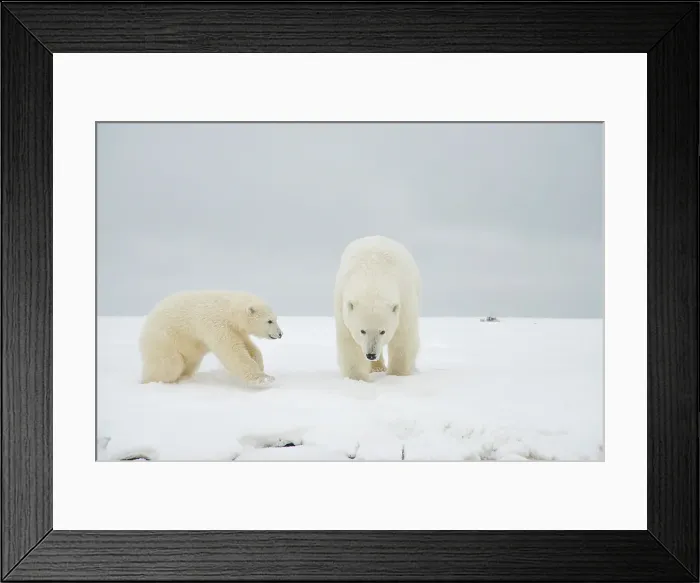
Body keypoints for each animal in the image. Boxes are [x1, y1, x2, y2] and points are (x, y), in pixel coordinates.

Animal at [138, 290, 283, 386]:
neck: (226, 308)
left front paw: (260, 366)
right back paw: (153, 381)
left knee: (190, 362)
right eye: (269, 321)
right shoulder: (215, 324)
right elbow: (232, 350)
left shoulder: (236, 328)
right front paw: (263, 379)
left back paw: (185, 377)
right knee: (169, 366)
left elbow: (248, 346)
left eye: (275, 319)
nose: (280, 333)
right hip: (164, 340)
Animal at [333, 235, 421, 382]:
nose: (371, 354)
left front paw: (398, 375)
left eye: (383, 331)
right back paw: (377, 368)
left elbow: (403, 336)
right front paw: (357, 378)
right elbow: (350, 341)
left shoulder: (405, 299)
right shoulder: (342, 305)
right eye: (362, 330)